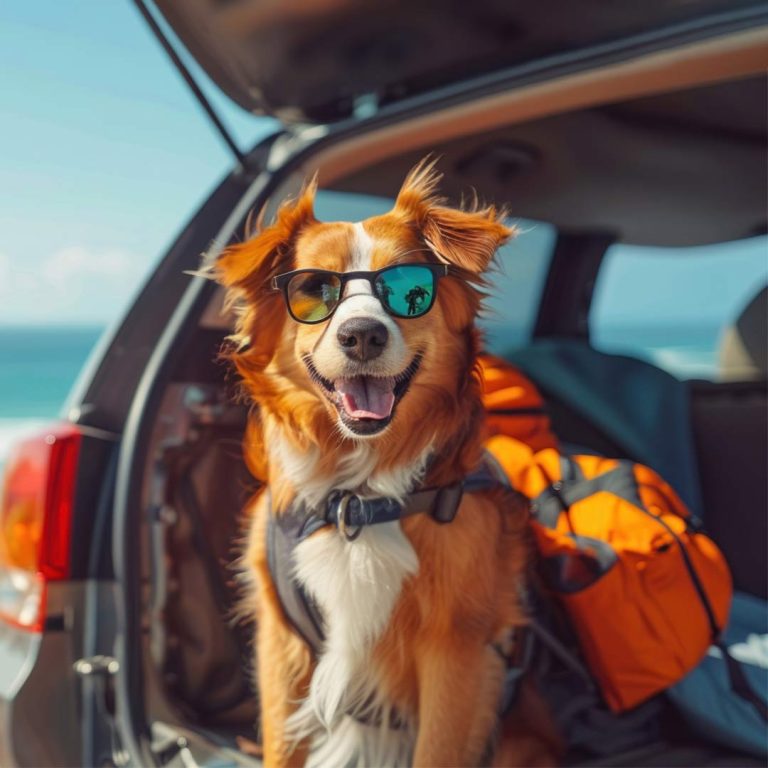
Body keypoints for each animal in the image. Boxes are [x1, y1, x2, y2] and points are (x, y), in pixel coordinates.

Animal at [216, 159, 560, 764]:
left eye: (408, 290)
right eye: (314, 289)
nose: (362, 335)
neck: (355, 498)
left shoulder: (457, 650)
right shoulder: (280, 643)